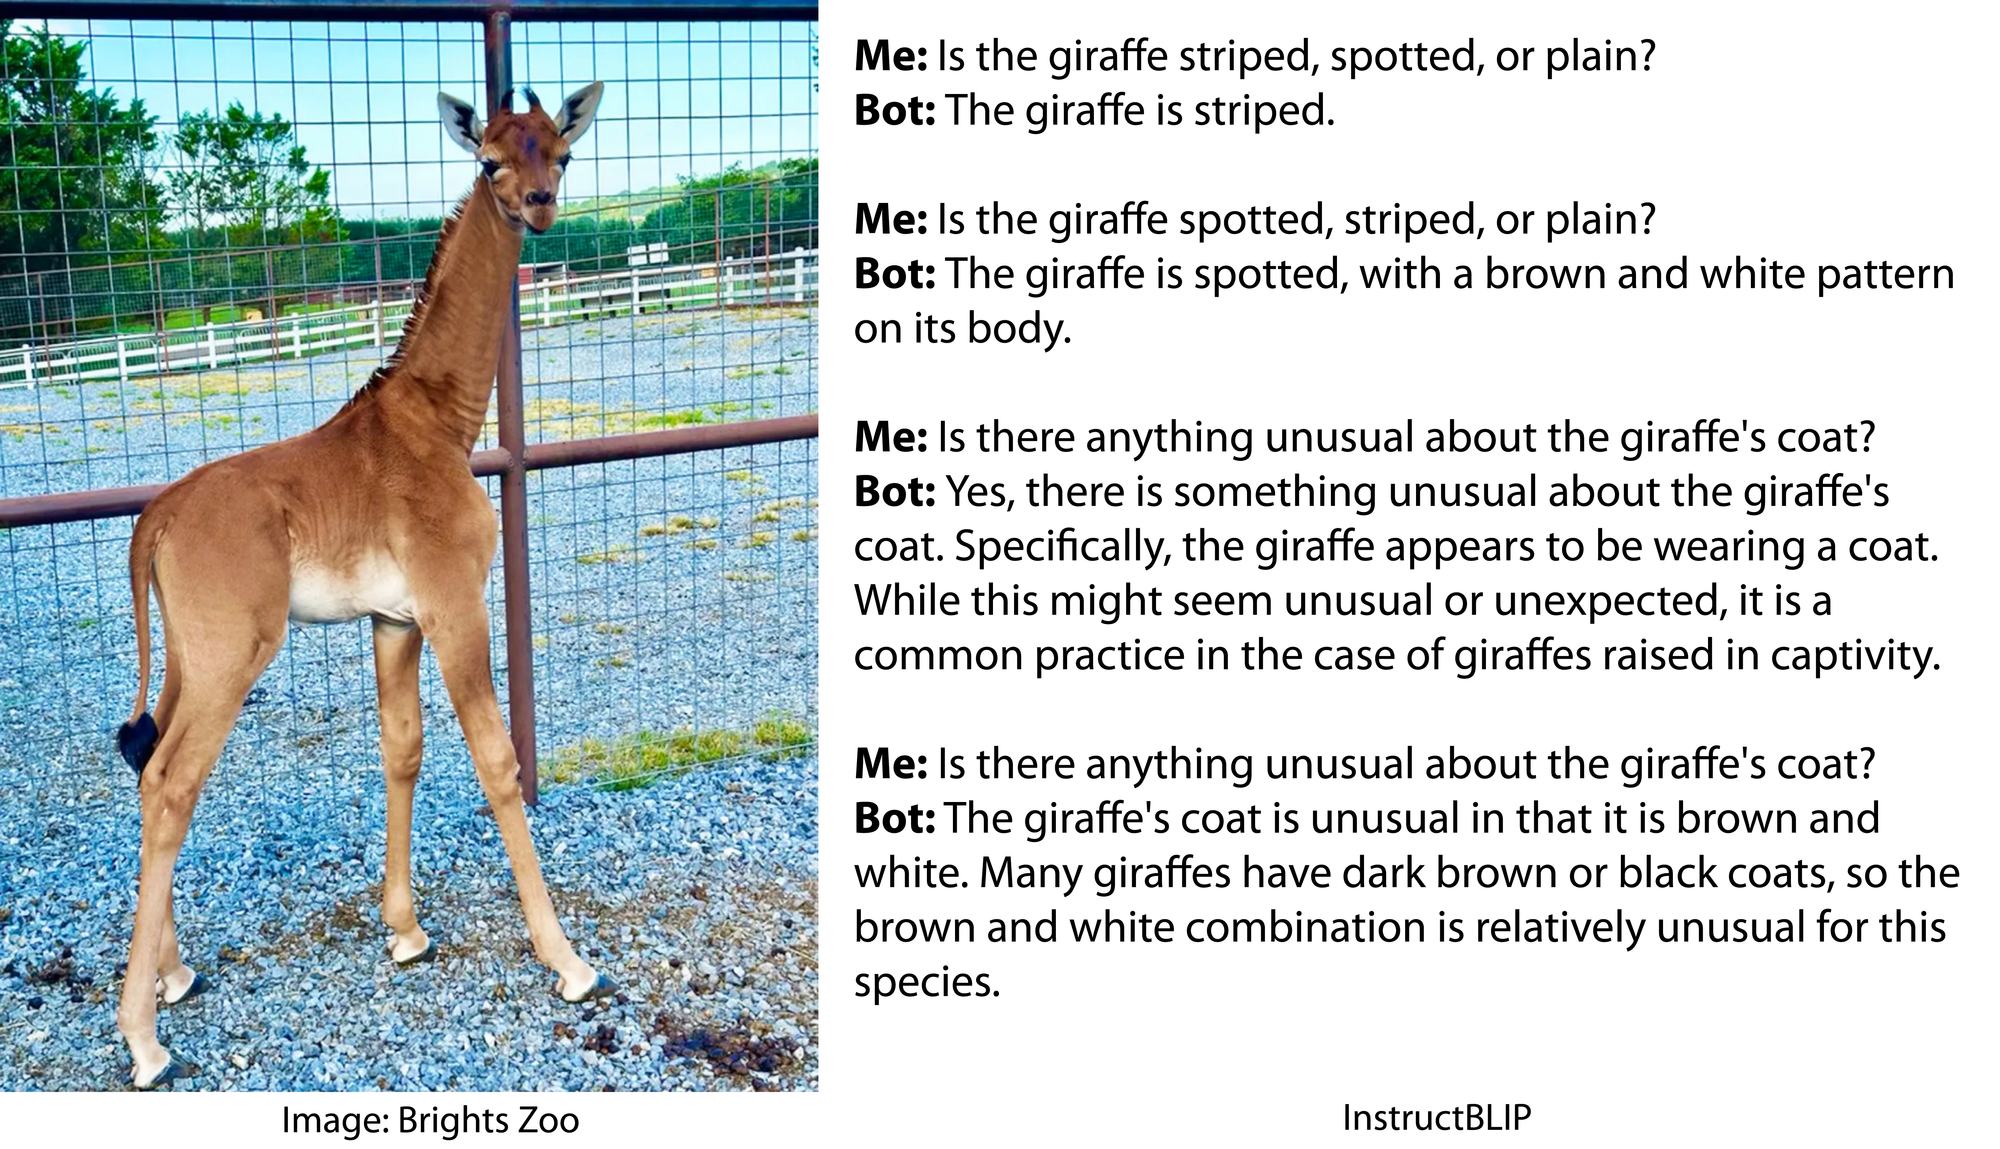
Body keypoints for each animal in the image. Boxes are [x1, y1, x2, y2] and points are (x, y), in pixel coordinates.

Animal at [112, 81, 610, 1089]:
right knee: (173, 784)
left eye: (562, 153)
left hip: (187, 655)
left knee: (148, 765)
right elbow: (497, 761)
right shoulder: (456, 605)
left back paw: (175, 973)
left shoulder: (393, 618)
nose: (539, 206)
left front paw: (407, 929)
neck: (442, 422)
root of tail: (157, 518)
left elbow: (403, 749)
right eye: (489, 161)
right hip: (233, 654)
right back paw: (144, 1039)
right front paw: (568, 960)